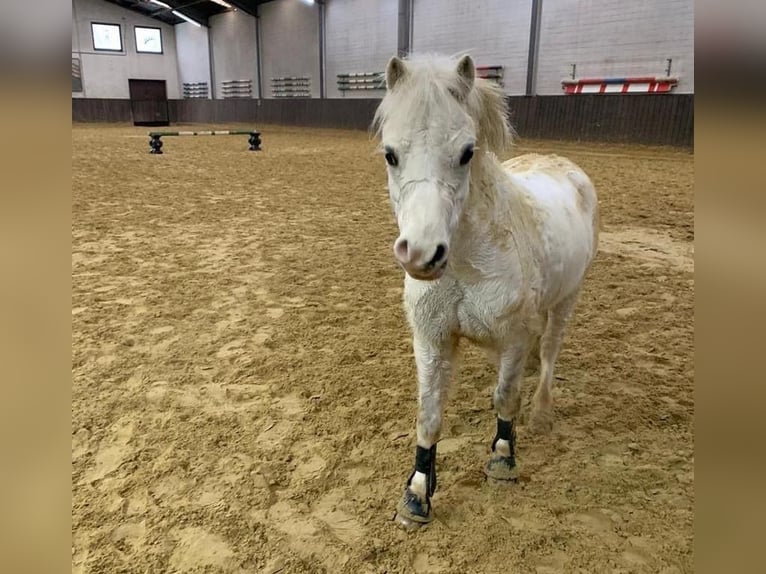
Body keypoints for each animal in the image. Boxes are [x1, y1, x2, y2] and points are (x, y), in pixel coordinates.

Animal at [376, 54, 604, 532]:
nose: (421, 253)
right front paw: (417, 495)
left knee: (549, 351)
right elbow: (429, 415)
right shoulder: (432, 340)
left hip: (567, 300)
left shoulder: (514, 338)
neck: (466, 263)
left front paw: (502, 459)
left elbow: (506, 397)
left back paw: (541, 413)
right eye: (391, 154)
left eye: (466, 152)